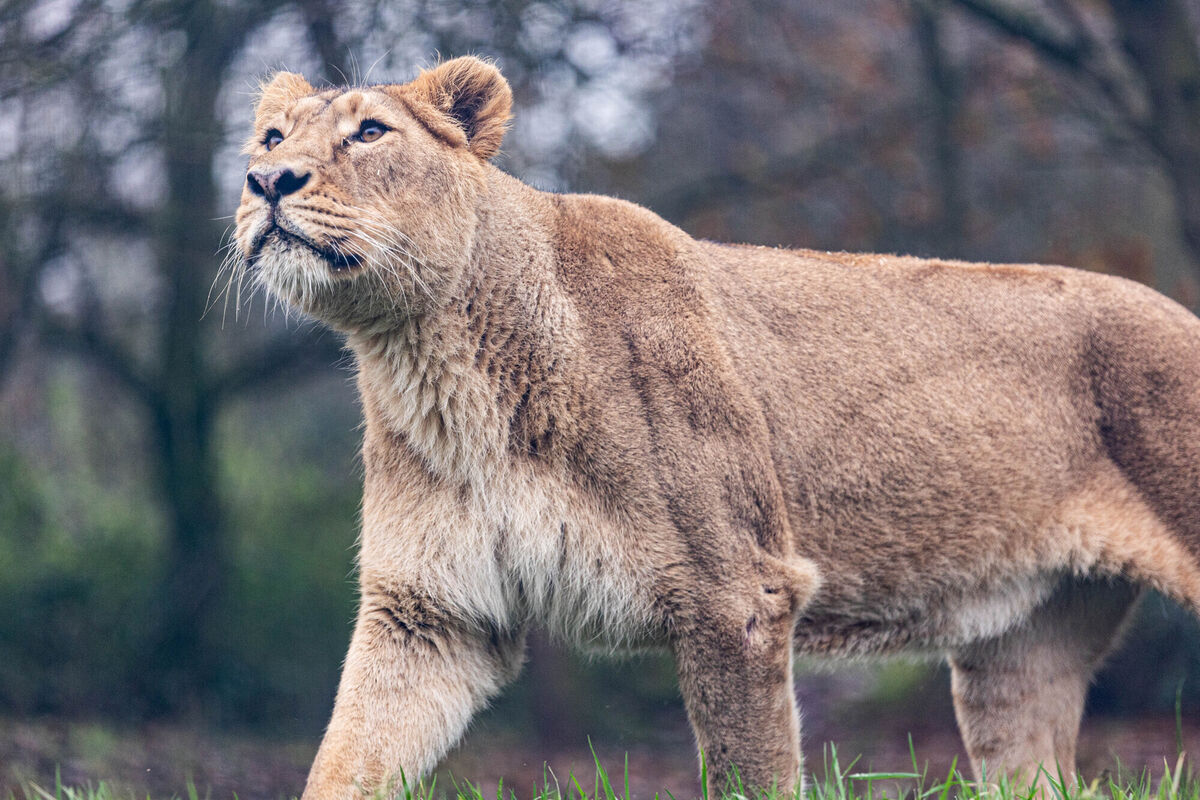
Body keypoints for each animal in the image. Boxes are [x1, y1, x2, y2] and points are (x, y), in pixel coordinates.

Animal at [232, 56, 1200, 798]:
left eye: (369, 133)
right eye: (272, 138)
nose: (266, 184)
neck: (430, 358)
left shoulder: (736, 594)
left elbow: (749, 771)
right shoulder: (432, 615)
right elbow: (348, 755)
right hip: (1020, 650)